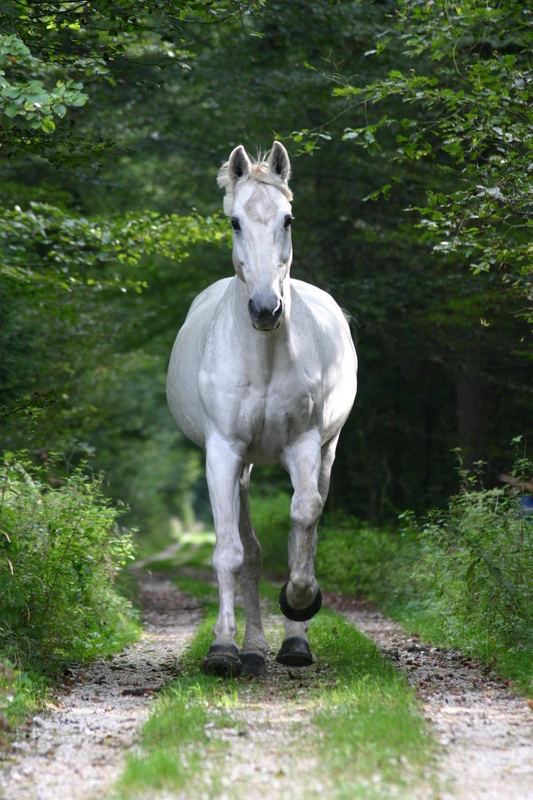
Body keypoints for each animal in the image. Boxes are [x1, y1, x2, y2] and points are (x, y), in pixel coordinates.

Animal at [168, 144, 356, 676]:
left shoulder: (306, 444)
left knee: (302, 532)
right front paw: (222, 649)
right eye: (234, 222)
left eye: (287, 218)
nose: (265, 310)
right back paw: (251, 649)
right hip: (245, 465)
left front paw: (300, 601)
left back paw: (292, 643)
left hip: (326, 451)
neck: (266, 357)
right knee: (249, 552)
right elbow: (231, 553)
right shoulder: (223, 453)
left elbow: (304, 519)